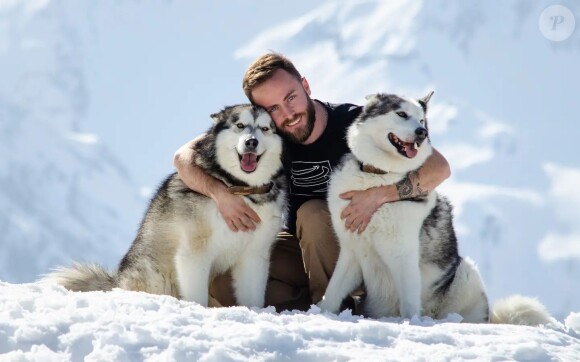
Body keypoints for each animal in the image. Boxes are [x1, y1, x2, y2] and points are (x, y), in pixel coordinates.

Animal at [46, 104, 286, 308]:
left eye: (265, 129)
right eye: (240, 125)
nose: (251, 142)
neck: (242, 189)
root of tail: (117, 281)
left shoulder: (255, 254)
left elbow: (253, 295)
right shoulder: (194, 250)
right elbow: (196, 293)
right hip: (155, 275)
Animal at [320, 92, 556, 326]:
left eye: (422, 120)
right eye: (402, 114)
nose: (422, 133)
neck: (376, 176)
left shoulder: (403, 255)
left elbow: (409, 303)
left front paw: (411, 324)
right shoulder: (351, 252)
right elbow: (332, 293)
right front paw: (320, 315)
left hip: (466, 273)